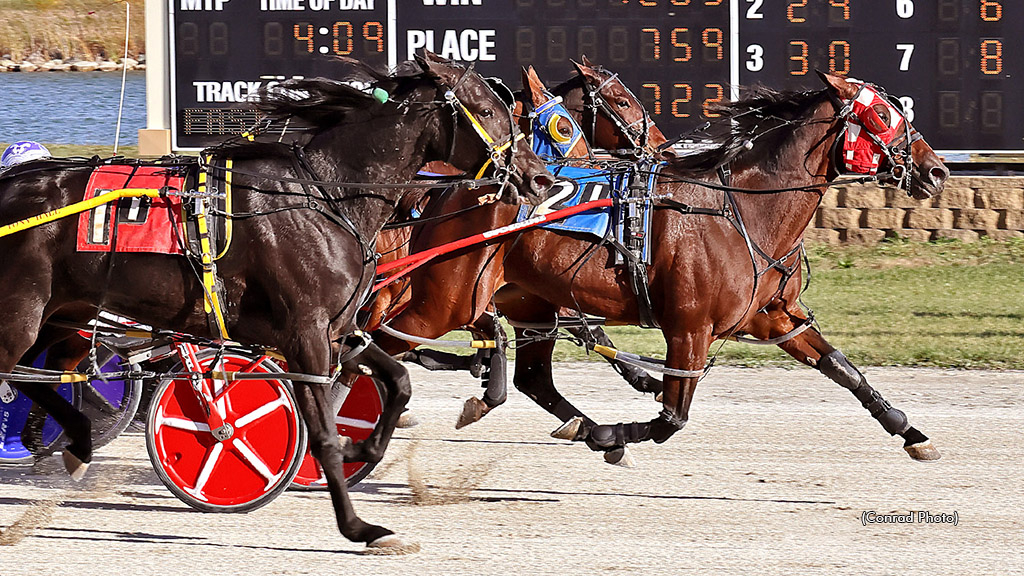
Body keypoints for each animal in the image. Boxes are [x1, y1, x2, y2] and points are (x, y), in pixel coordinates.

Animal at [0, 54, 552, 553]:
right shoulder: (304, 334)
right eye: (489, 109)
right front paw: (358, 526)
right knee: (18, 373)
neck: (327, 195)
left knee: (37, 375)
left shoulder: (337, 328)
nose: (541, 177)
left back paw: (72, 439)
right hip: (22, 316)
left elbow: (398, 381)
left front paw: (362, 444)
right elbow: (321, 432)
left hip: (64, 315)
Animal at [374, 72, 942, 467]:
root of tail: (453, 187)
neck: (745, 210)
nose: (936, 170)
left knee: (532, 378)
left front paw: (910, 431)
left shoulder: (775, 317)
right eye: (884, 117)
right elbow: (673, 417)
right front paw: (610, 433)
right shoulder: (690, 328)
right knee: (380, 342)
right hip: (446, 300)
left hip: (526, 300)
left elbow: (843, 369)